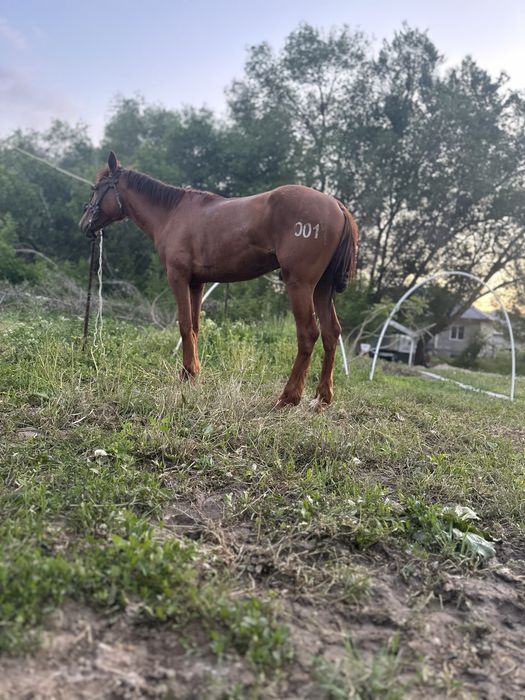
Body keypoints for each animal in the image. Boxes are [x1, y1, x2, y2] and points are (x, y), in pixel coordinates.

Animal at [79, 152, 359, 407]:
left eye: (96, 188)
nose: (84, 224)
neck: (173, 213)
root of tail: (336, 205)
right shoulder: (196, 283)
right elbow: (194, 327)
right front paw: (191, 373)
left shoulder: (178, 277)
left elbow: (183, 324)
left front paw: (188, 373)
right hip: (322, 288)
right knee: (331, 333)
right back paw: (322, 397)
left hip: (300, 285)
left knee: (308, 333)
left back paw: (288, 397)